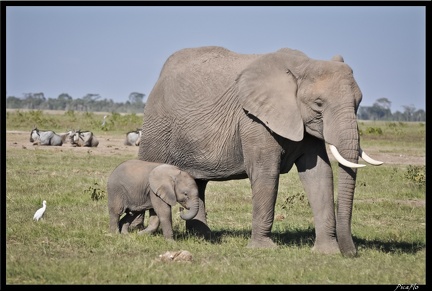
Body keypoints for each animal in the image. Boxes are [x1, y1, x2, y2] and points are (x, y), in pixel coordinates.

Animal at [138, 46, 382, 258]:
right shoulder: (254, 121)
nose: (351, 253)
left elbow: (319, 174)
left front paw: (327, 252)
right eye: (319, 104)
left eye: (358, 102)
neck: (302, 65)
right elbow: (266, 173)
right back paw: (140, 229)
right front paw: (263, 249)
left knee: (198, 182)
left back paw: (203, 238)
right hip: (157, 126)